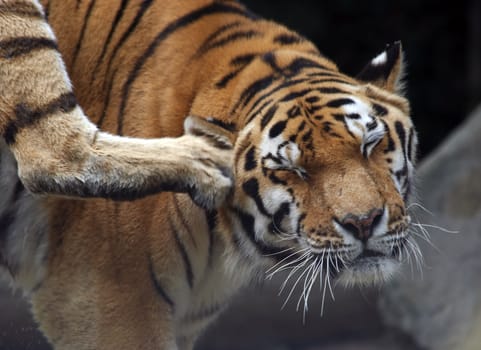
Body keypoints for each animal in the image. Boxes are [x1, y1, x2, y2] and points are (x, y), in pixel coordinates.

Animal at [0, 0, 416, 350]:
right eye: (291, 170)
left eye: (370, 144)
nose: (363, 223)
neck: (222, 240)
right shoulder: (102, 302)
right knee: (51, 153)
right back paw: (204, 161)